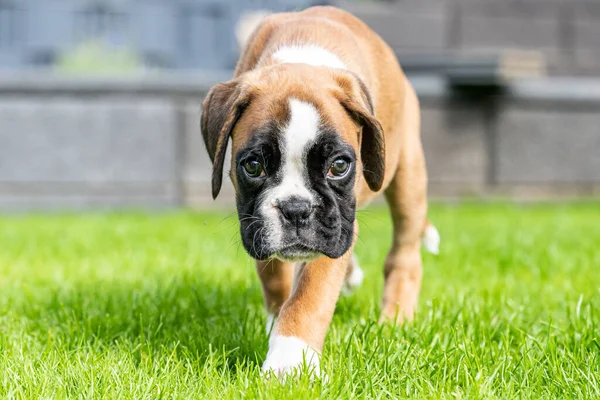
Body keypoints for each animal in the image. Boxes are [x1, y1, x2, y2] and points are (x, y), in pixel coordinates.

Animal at [199, 5, 438, 378]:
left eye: (338, 166)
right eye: (253, 166)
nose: (296, 210)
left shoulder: (333, 222)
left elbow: (309, 294)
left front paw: (288, 360)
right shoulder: (258, 223)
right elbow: (275, 277)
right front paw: (275, 326)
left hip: (407, 174)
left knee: (404, 254)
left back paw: (395, 319)